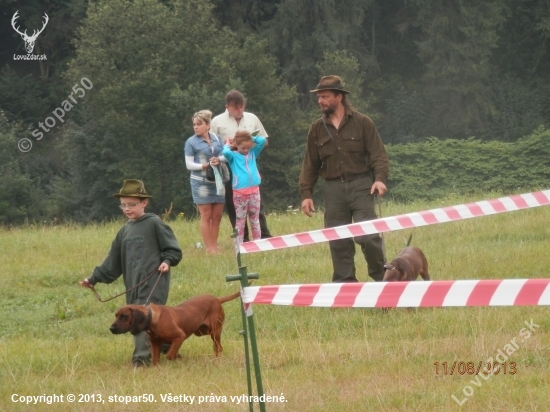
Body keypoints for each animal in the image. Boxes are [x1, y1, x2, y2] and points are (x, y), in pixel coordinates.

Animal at [111, 292, 240, 366]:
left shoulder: (179, 336)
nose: (111, 329)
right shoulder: (155, 343)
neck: (153, 318)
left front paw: (175, 358)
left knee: (218, 347)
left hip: (214, 331)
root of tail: (217, 299)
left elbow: (169, 355)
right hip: (200, 331)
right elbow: (155, 360)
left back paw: (217, 360)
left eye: (124, 316)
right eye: (116, 315)